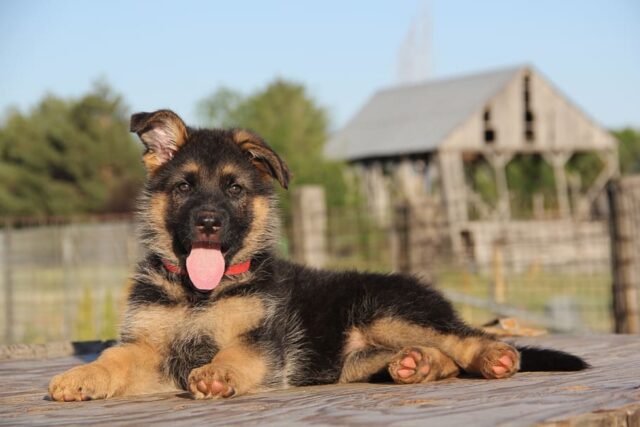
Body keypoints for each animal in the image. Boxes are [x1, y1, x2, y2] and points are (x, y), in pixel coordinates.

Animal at [48, 109, 592, 402]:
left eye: (234, 189)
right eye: (184, 187)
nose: (208, 223)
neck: (199, 293)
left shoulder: (260, 341)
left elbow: (235, 354)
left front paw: (218, 373)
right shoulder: (147, 346)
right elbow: (113, 358)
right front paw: (80, 377)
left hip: (387, 310)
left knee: (465, 337)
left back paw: (493, 356)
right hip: (355, 356)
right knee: (439, 356)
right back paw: (416, 366)